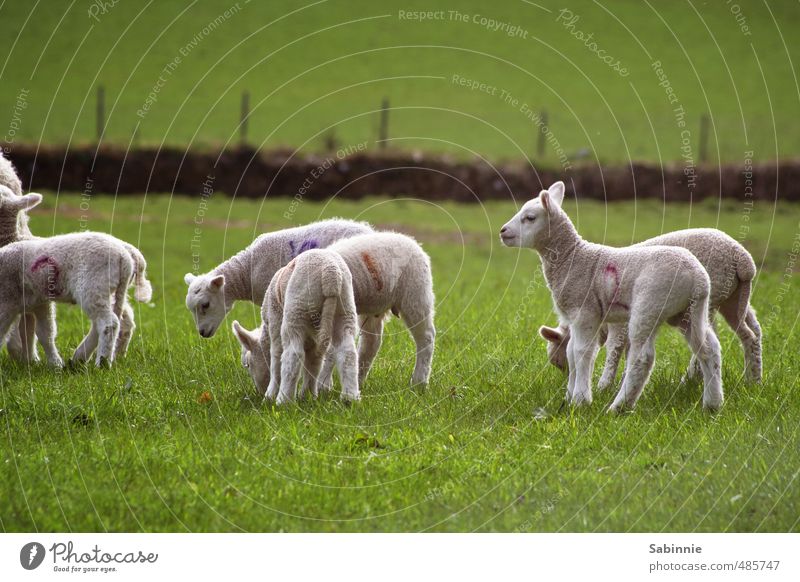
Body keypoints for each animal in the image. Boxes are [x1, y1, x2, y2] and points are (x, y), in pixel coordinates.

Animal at [0, 203, 152, 368]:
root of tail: (124, 257)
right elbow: (40, 332)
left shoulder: (7, 300)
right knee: (109, 321)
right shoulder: (38, 302)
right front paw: (42, 363)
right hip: (112, 291)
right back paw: (81, 357)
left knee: (109, 323)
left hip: (93, 286)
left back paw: (102, 363)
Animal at [230, 250, 358, 406]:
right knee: (348, 352)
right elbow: (313, 364)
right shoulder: (313, 343)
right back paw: (350, 398)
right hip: (345, 309)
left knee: (293, 355)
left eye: (248, 364)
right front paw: (308, 395)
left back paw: (283, 400)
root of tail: (331, 275)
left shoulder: (274, 321)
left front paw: (270, 395)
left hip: (295, 310)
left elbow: (276, 359)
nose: (259, 392)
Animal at [500, 180, 724, 412]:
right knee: (709, 348)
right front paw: (568, 398)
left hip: (650, 304)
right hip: (689, 310)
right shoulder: (574, 317)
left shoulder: (585, 312)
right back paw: (712, 404)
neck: (571, 258)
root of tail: (698, 279)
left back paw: (619, 407)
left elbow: (581, 353)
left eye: (530, 218)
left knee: (642, 358)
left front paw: (581, 400)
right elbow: (570, 352)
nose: (502, 231)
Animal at [536, 230, 764, 390]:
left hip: (712, 293)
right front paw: (622, 381)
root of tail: (742, 258)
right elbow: (628, 351)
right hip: (734, 298)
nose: (568, 379)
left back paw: (690, 379)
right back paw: (753, 379)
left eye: (558, 361)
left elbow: (615, 348)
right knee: (752, 332)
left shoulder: (620, 323)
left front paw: (604, 385)